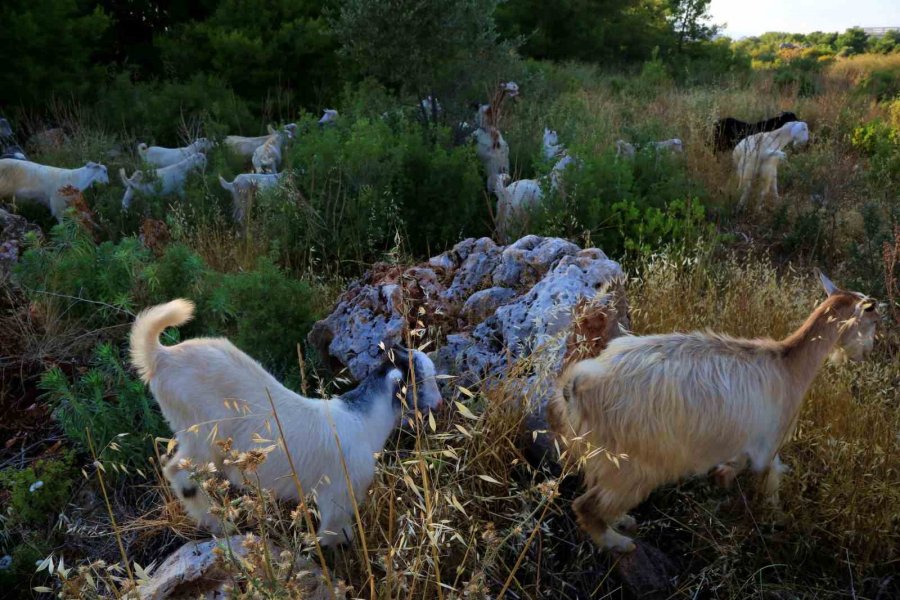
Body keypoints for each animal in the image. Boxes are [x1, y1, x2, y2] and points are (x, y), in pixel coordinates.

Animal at [130, 298, 442, 544]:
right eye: (422, 379)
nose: (438, 404)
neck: (363, 421)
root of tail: (161, 355)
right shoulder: (339, 495)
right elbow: (335, 536)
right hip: (201, 434)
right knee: (177, 471)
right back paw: (221, 524)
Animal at [548, 272, 880, 552]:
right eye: (873, 321)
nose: (868, 352)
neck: (788, 365)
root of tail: (577, 387)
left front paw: (723, 476)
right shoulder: (769, 440)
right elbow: (770, 473)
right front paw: (775, 514)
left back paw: (622, 521)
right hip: (633, 463)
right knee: (587, 506)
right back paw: (618, 542)